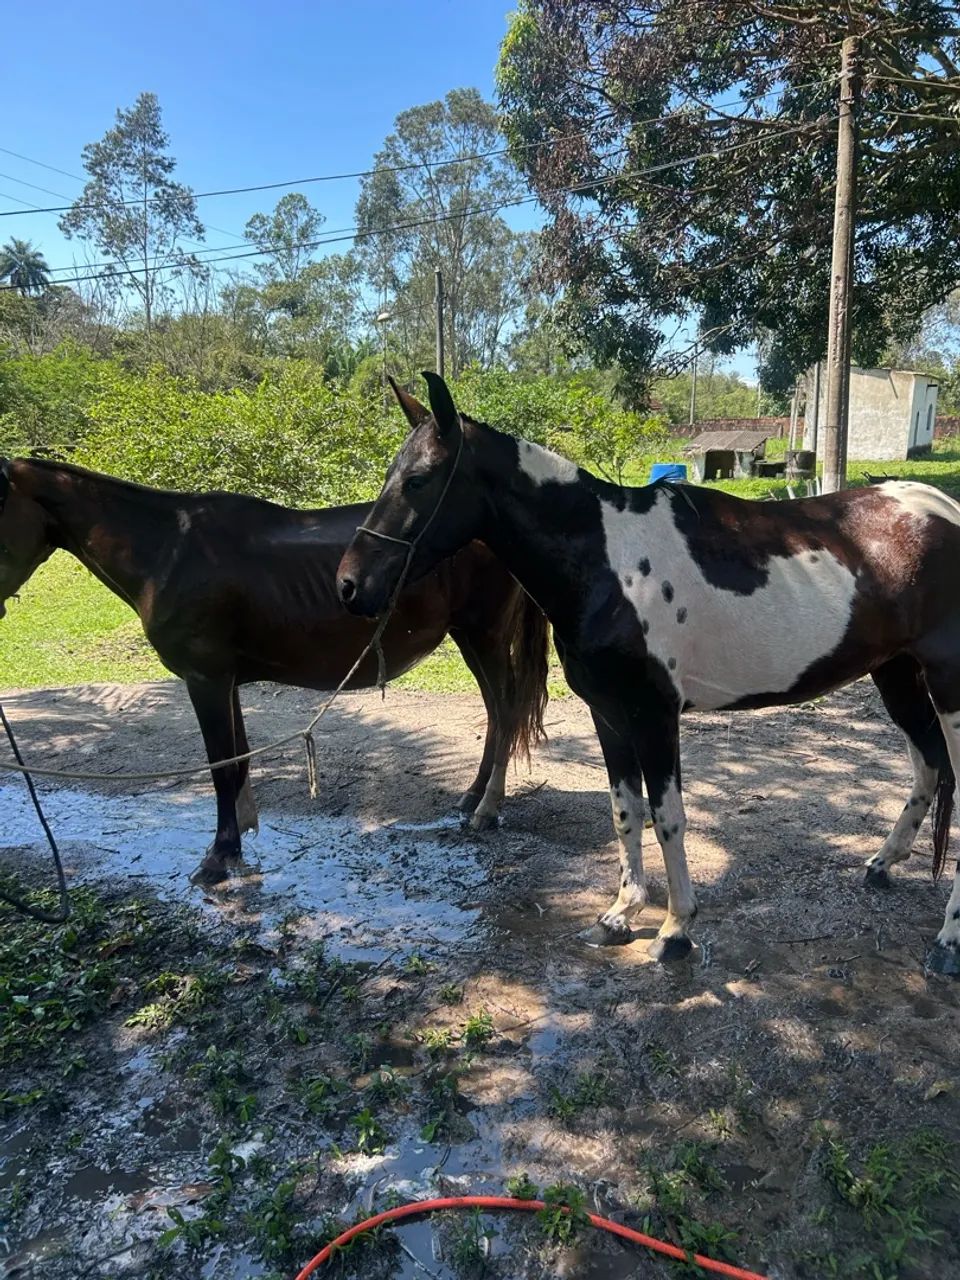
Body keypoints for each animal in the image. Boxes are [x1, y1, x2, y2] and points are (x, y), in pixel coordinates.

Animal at [0, 455, 548, 882]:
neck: (168, 551)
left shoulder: (205, 680)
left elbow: (221, 765)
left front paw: (219, 856)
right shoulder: (223, 681)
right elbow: (237, 759)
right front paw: (240, 833)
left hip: (483, 635)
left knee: (505, 710)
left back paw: (487, 808)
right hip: (470, 638)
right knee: (497, 714)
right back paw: (472, 797)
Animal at [337, 372, 960, 976]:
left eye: (419, 480)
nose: (350, 584)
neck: (609, 565)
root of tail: (940, 509)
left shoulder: (654, 715)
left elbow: (667, 817)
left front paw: (675, 929)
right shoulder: (609, 714)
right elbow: (624, 811)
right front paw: (620, 914)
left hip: (946, 686)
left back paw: (947, 943)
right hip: (897, 675)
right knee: (928, 765)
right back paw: (883, 864)